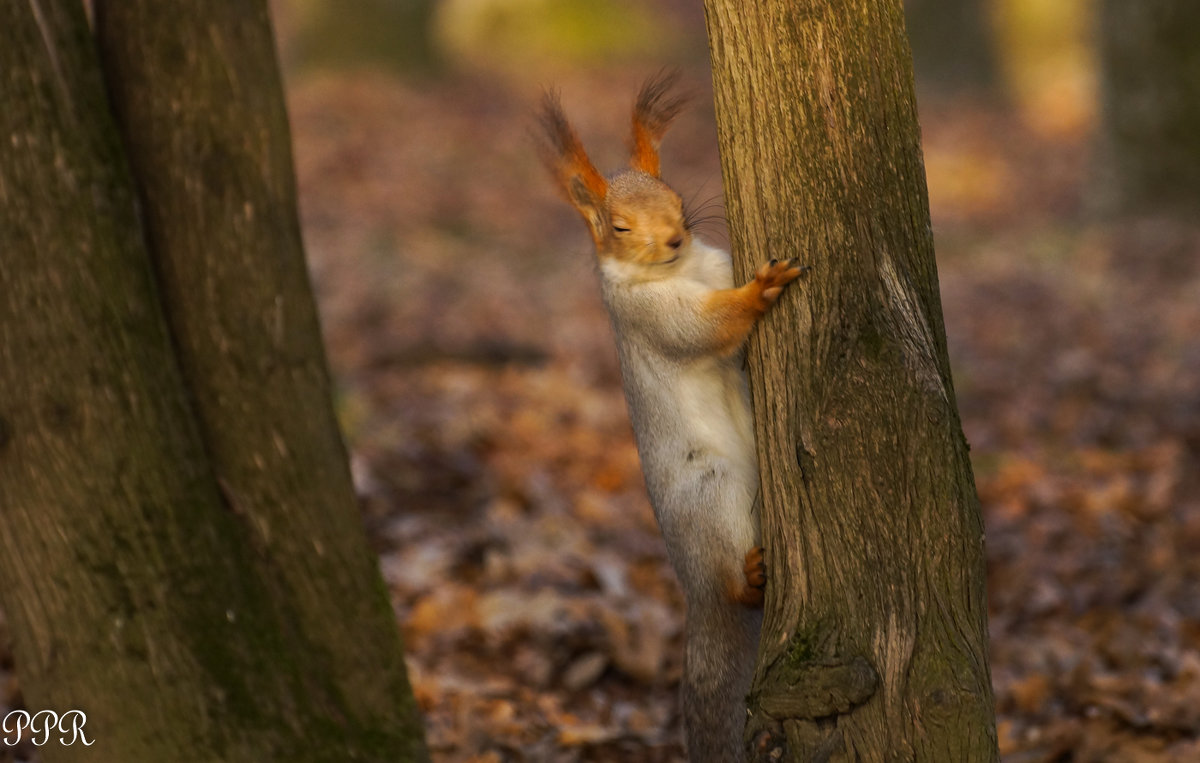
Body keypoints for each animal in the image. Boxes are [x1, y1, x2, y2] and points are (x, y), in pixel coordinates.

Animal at [537, 70, 806, 758]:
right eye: (619, 228)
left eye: (678, 198)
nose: (676, 237)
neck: (685, 269)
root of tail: (699, 604)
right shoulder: (648, 318)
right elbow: (704, 327)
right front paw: (760, 291)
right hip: (709, 496)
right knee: (730, 582)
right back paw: (748, 575)